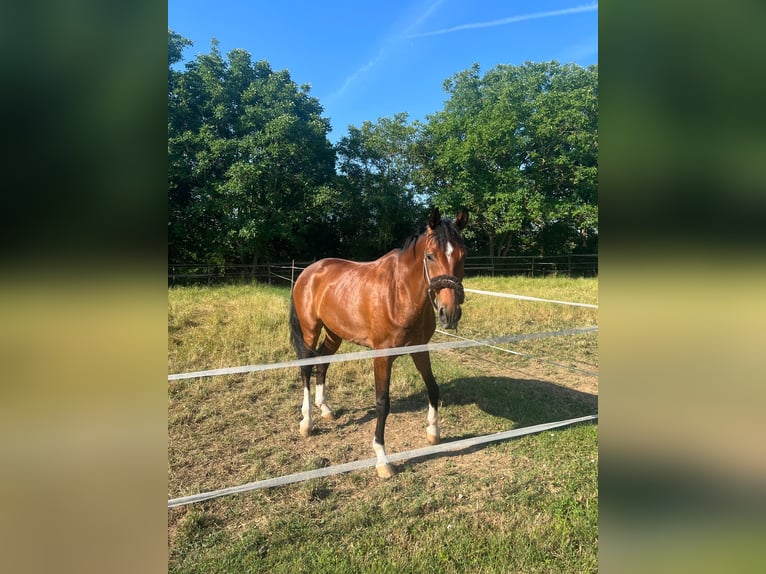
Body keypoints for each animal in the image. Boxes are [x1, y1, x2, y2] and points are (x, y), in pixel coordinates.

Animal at [290, 209, 464, 480]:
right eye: (430, 256)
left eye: (462, 255)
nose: (450, 313)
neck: (399, 294)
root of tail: (309, 271)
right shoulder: (382, 357)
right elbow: (383, 403)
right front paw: (383, 460)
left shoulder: (419, 350)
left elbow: (433, 388)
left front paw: (433, 433)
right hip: (310, 330)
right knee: (306, 368)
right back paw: (307, 422)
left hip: (334, 334)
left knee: (323, 363)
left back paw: (325, 409)